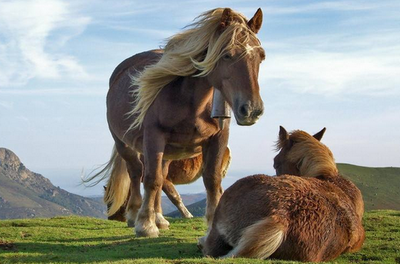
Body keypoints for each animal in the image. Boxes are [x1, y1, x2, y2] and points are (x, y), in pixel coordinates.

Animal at [87, 7, 266, 237]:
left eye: (261, 57)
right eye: (227, 55)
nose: (252, 110)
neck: (191, 101)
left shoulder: (218, 138)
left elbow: (212, 181)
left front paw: (211, 226)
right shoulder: (154, 137)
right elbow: (151, 179)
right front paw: (145, 225)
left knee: (160, 175)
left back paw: (159, 218)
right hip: (124, 143)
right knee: (136, 172)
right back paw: (136, 214)